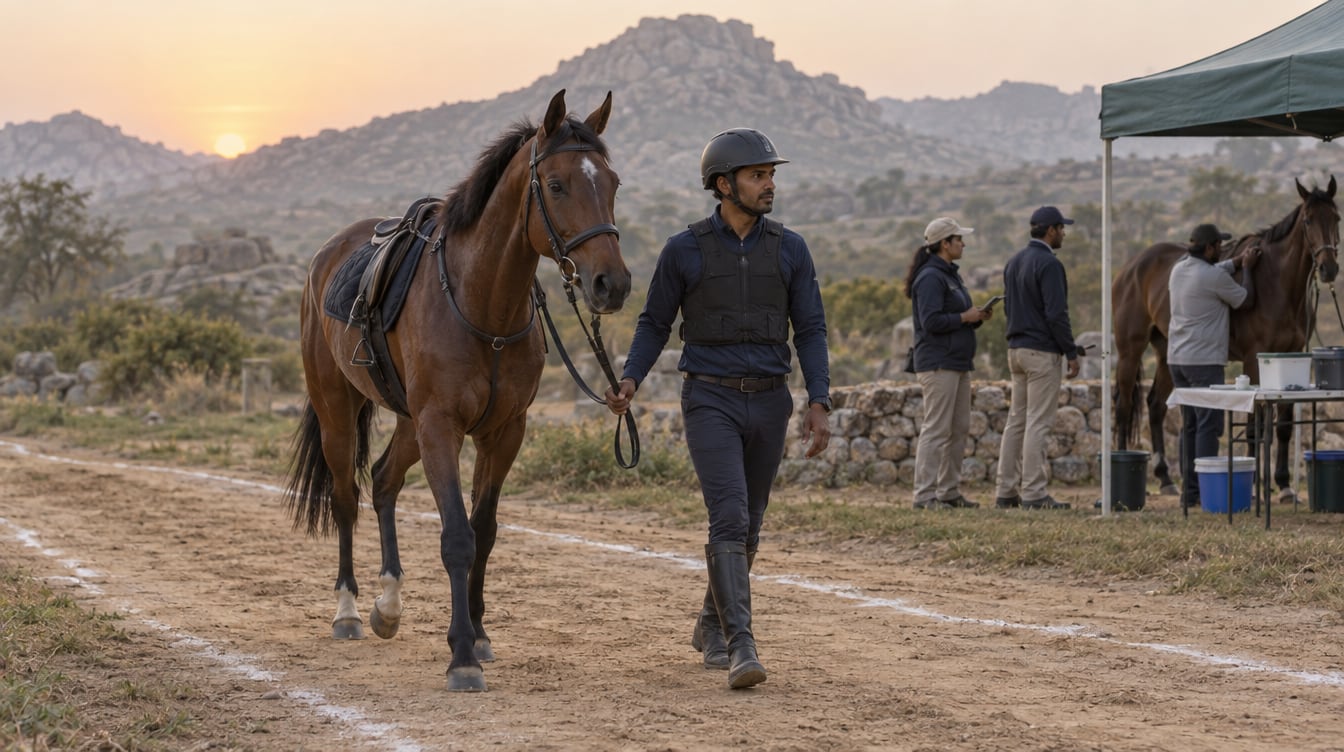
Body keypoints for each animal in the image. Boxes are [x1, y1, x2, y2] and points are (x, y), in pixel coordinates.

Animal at [284, 90, 631, 692]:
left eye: (611, 182)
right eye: (556, 184)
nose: (612, 284)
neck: (481, 305)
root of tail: (326, 256)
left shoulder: (503, 431)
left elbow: (484, 530)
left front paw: (480, 635)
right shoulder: (440, 427)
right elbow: (456, 539)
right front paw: (462, 655)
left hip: (406, 422)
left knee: (382, 481)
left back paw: (388, 606)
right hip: (338, 410)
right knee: (346, 498)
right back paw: (348, 611)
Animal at [1112, 176, 1340, 500]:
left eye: (1336, 218)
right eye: (1308, 220)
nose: (1328, 268)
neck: (1277, 283)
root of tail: (1132, 266)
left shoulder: (1294, 354)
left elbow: (1283, 426)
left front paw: (1283, 485)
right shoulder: (1253, 359)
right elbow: (1254, 427)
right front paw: (1256, 486)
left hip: (1167, 352)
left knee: (1155, 406)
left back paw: (1166, 478)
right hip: (1130, 349)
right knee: (1123, 408)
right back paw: (1121, 463)